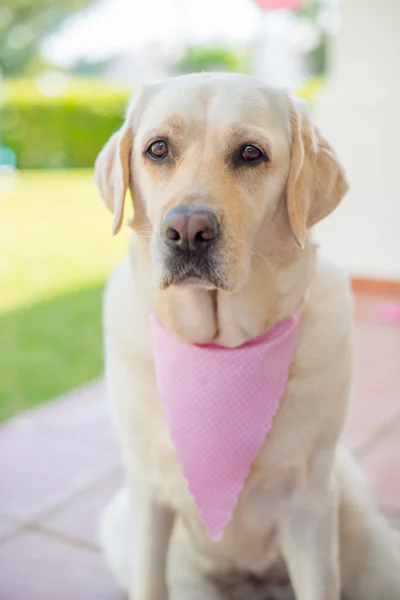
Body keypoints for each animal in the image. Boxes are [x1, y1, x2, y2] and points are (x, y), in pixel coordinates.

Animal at [94, 72, 400, 596]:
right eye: (158, 148)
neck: (220, 349)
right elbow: (149, 580)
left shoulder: (308, 507)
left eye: (251, 153)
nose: (188, 231)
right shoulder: (148, 495)